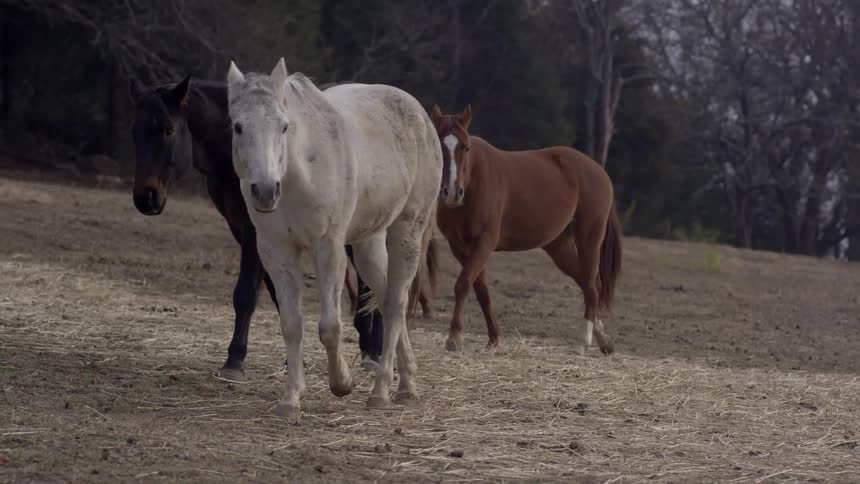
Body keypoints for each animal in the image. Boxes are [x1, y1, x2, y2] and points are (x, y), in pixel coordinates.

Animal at [128, 77, 435, 379]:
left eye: (168, 130)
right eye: (134, 133)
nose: (146, 198)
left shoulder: (254, 233)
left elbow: (245, 294)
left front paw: (234, 360)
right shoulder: (254, 233)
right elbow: (278, 295)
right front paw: (293, 361)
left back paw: (377, 352)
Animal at [226, 58, 441, 421]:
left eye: (284, 126)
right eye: (238, 127)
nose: (266, 191)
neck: (297, 175)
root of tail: (421, 116)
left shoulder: (328, 249)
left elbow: (329, 327)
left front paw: (342, 383)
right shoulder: (276, 252)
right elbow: (291, 324)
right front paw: (290, 401)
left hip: (407, 231)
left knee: (396, 304)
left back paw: (381, 392)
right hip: (369, 244)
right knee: (387, 298)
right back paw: (407, 385)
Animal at [430, 105, 622, 355]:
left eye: (465, 147)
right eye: (439, 144)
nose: (452, 192)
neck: (473, 181)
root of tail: (600, 172)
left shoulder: (484, 243)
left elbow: (463, 285)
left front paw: (454, 338)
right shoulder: (460, 247)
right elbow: (481, 290)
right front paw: (494, 338)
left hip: (589, 237)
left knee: (591, 285)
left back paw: (584, 341)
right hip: (559, 246)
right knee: (588, 284)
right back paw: (604, 339)